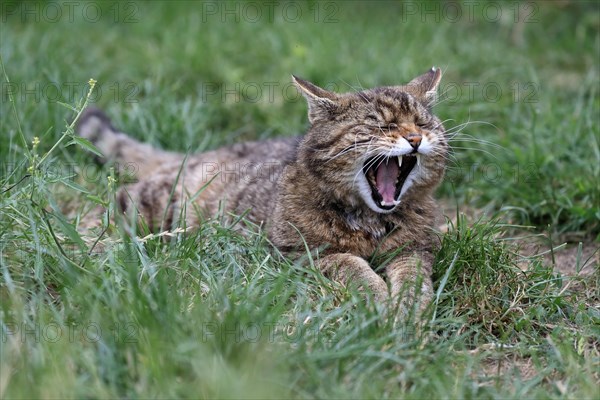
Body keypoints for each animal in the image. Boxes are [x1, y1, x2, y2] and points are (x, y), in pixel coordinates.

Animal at [77, 69, 448, 316]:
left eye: (423, 124)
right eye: (380, 125)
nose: (416, 138)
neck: (370, 219)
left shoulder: (416, 249)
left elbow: (414, 279)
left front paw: (409, 309)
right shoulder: (299, 253)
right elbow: (351, 265)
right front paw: (378, 297)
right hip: (157, 200)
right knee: (105, 204)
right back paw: (88, 243)